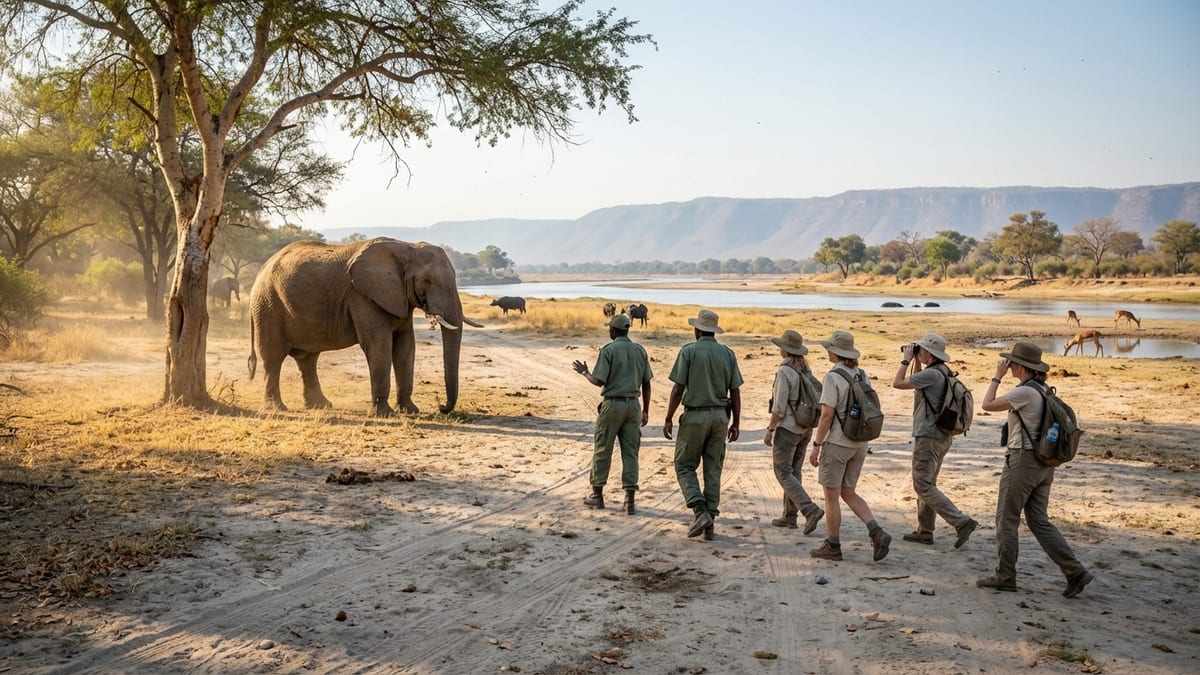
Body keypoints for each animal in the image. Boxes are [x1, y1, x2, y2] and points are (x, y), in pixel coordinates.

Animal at [247, 238, 482, 417]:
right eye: (427, 281)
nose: (441, 407)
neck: (406, 247)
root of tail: (260, 270)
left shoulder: (398, 298)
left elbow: (405, 346)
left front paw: (410, 411)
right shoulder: (363, 297)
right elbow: (378, 344)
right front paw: (384, 414)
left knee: (308, 359)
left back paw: (321, 405)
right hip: (267, 306)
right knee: (273, 356)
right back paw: (277, 408)